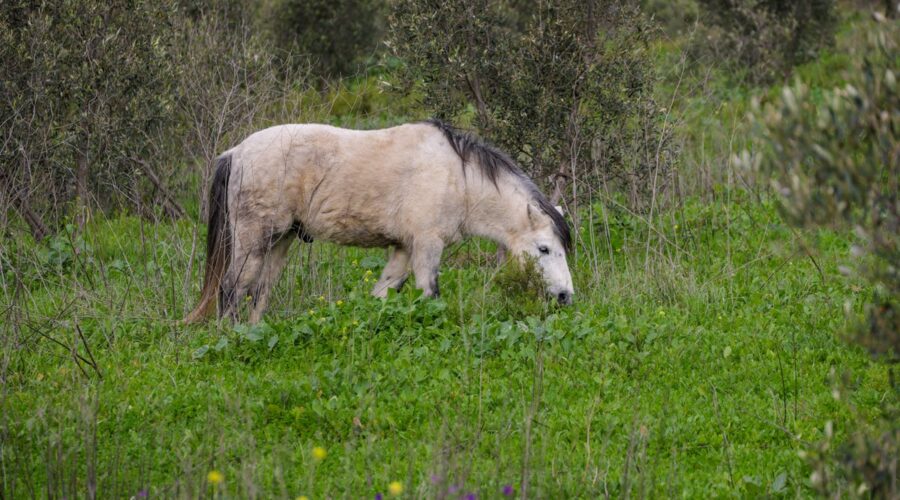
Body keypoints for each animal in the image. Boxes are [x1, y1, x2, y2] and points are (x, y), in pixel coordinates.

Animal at [183, 119, 573, 324]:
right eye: (544, 249)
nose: (565, 296)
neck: (457, 177)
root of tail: (236, 153)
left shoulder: (403, 249)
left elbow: (383, 293)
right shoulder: (427, 246)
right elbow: (430, 293)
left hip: (281, 241)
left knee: (259, 291)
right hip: (253, 240)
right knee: (232, 289)